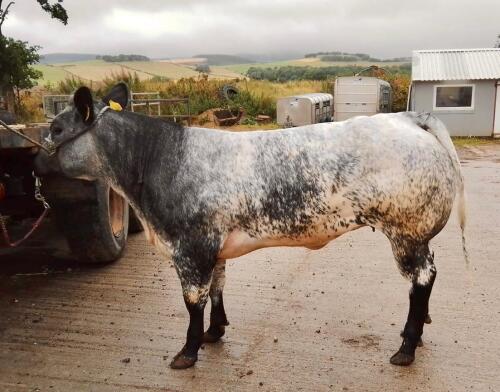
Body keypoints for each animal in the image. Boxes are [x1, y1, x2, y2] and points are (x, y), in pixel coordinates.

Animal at [36, 83, 468, 370]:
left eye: (56, 129)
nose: (36, 165)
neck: (156, 161)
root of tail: (409, 118)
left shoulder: (190, 247)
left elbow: (192, 301)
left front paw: (187, 352)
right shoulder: (212, 246)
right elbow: (217, 289)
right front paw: (214, 332)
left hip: (407, 230)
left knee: (422, 279)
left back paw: (406, 347)